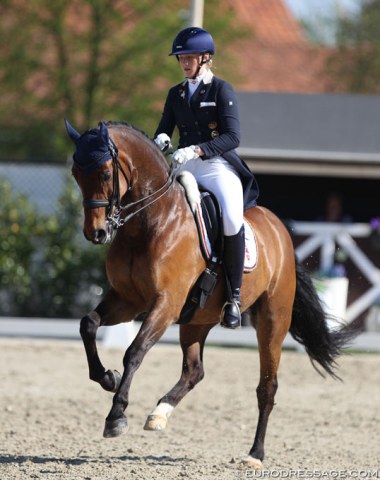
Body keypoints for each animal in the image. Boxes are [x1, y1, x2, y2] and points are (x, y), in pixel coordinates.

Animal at [64, 119, 354, 468]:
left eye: (106, 174)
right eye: (75, 174)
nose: (96, 233)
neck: (150, 222)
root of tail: (280, 230)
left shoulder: (165, 304)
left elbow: (134, 352)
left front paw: (116, 416)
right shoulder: (128, 299)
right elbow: (88, 324)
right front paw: (107, 377)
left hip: (272, 321)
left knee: (267, 387)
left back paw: (255, 454)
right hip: (196, 320)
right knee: (195, 371)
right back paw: (159, 414)